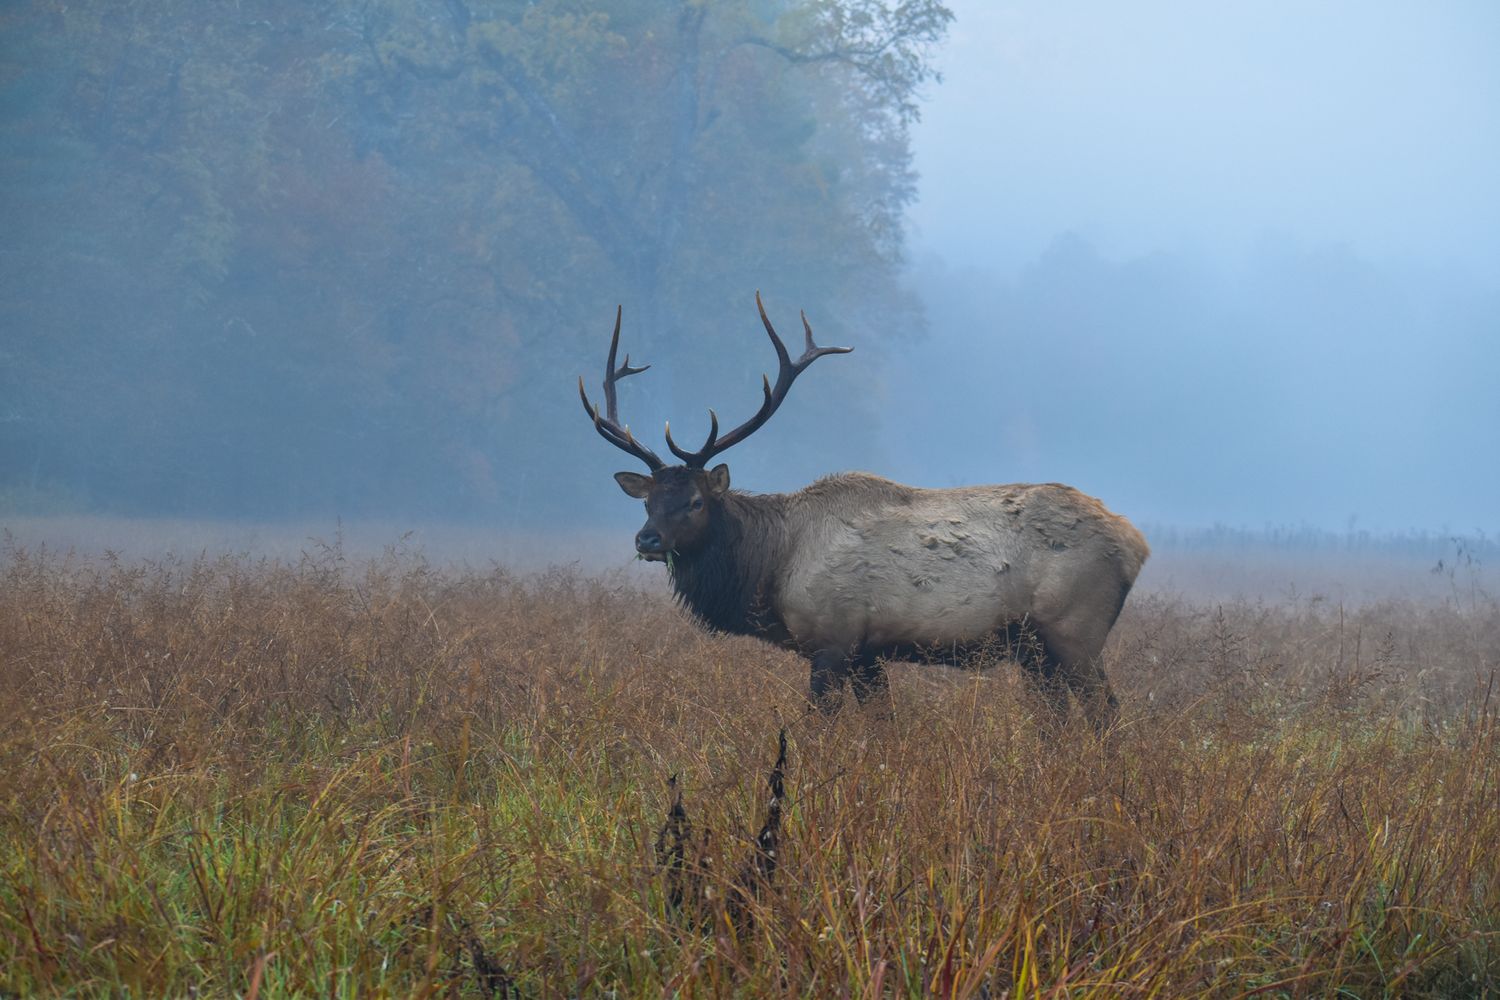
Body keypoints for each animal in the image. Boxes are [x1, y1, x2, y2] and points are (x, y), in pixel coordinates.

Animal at [579, 294, 1149, 730]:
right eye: (649, 500)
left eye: (695, 501)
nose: (647, 540)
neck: (773, 567)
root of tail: (1135, 544)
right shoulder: (866, 653)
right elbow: (883, 726)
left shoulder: (833, 639)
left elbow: (817, 727)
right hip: (1036, 650)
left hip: (1074, 631)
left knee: (1107, 715)